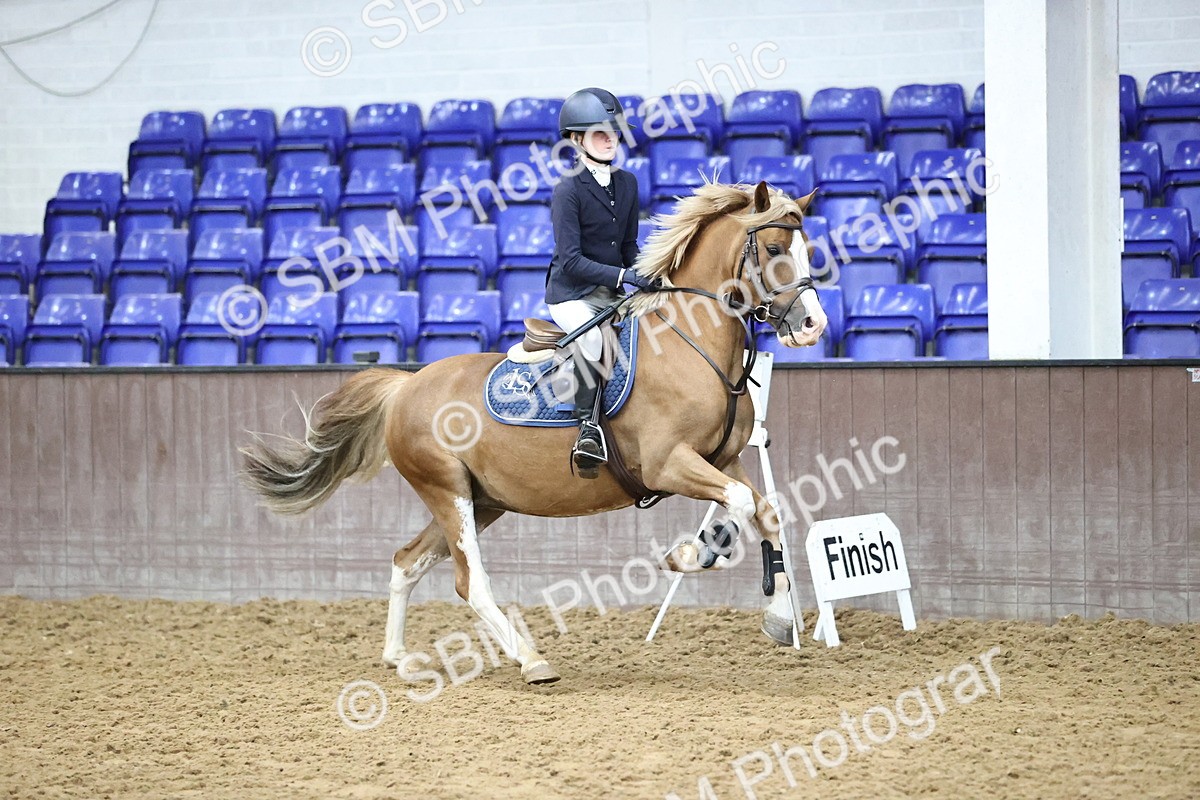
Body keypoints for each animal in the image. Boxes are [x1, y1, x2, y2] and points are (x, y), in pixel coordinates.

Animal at [240, 181, 828, 685]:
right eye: (774, 246)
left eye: (807, 248)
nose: (813, 325)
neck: (693, 345)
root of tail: (406, 386)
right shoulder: (669, 463)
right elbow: (741, 505)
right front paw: (694, 553)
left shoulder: (724, 459)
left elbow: (765, 512)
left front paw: (777, 618)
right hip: (446, 490)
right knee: (469, 582)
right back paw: (530, 659)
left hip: (482, 500)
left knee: (407, 561)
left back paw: (398, 656)